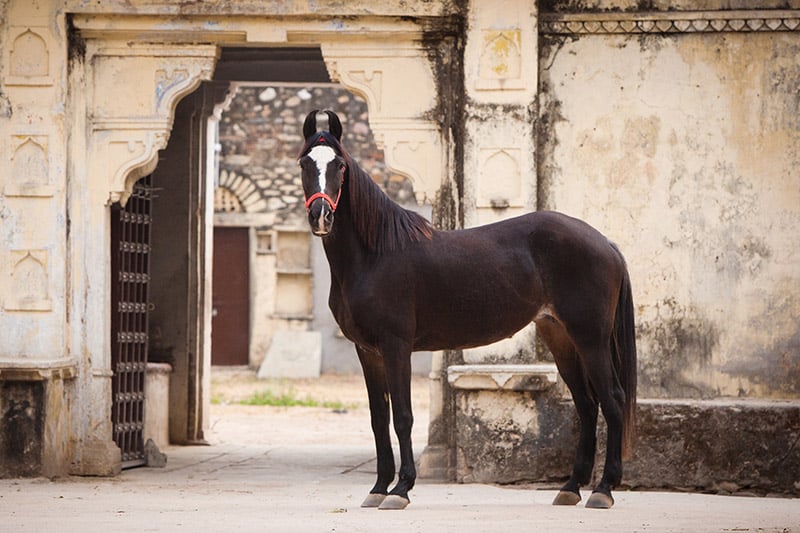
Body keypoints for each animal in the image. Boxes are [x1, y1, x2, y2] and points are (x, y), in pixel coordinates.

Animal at [297, 109, 637, 510]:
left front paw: (401, 489)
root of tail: (605, 243)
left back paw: (604, 490)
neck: (374, 255)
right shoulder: (368, 352)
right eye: (304, 163)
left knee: (612, 401)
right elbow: (379, 419)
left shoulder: (396, 347)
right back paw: (570, 488)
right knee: (586, 404)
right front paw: (378, 488)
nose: (321, 216)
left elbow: (403, 417)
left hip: (591, 339)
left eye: (340, 165)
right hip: (561, 337)